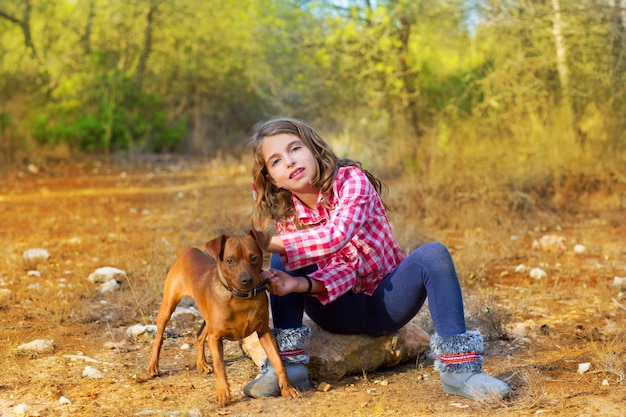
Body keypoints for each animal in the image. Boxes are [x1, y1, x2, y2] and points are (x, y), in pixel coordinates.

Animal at [146, 229, 298, 404]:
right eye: (229, 260)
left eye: (254, 258)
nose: (246, 280)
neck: (241, 298)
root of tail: (189, 250)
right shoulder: (215, 338)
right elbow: (219, 365)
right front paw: (223, 392)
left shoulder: (264, 332)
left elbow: (279, 362)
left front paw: (287, 388)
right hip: (168, 306)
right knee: (159, 338)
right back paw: (153, 366)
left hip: (208, 319)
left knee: (199, 335)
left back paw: (201, 364)